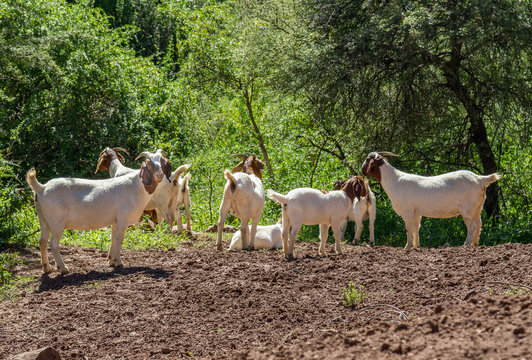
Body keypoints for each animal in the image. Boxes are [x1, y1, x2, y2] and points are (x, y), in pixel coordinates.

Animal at [27, 150, 168, 274]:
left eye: (162, 161)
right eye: (149, 162)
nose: (160, 175)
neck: (137, 186)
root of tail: (42, 187)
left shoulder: (115, 221)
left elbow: (113, 238)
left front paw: (111, 261)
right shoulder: (123, 219)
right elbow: (120, 238)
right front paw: (119, 262)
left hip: (44, 220)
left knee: (42, 241)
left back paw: (47, 268)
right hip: (57, 222)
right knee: (53, 243)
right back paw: (63, 268)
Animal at [362, 150, 502, 249]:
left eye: (368, 159)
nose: (362, 170)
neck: (393, 180)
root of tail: (480, 179)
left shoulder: (407, 212)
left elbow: (408, 228)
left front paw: (407, 247)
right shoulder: (416, 213)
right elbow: (416, 228)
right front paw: (416, 247)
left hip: (467, 209)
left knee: (472, 226)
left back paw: (466, 244)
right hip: (477, 208)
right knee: (479, 224)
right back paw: (475, 244)